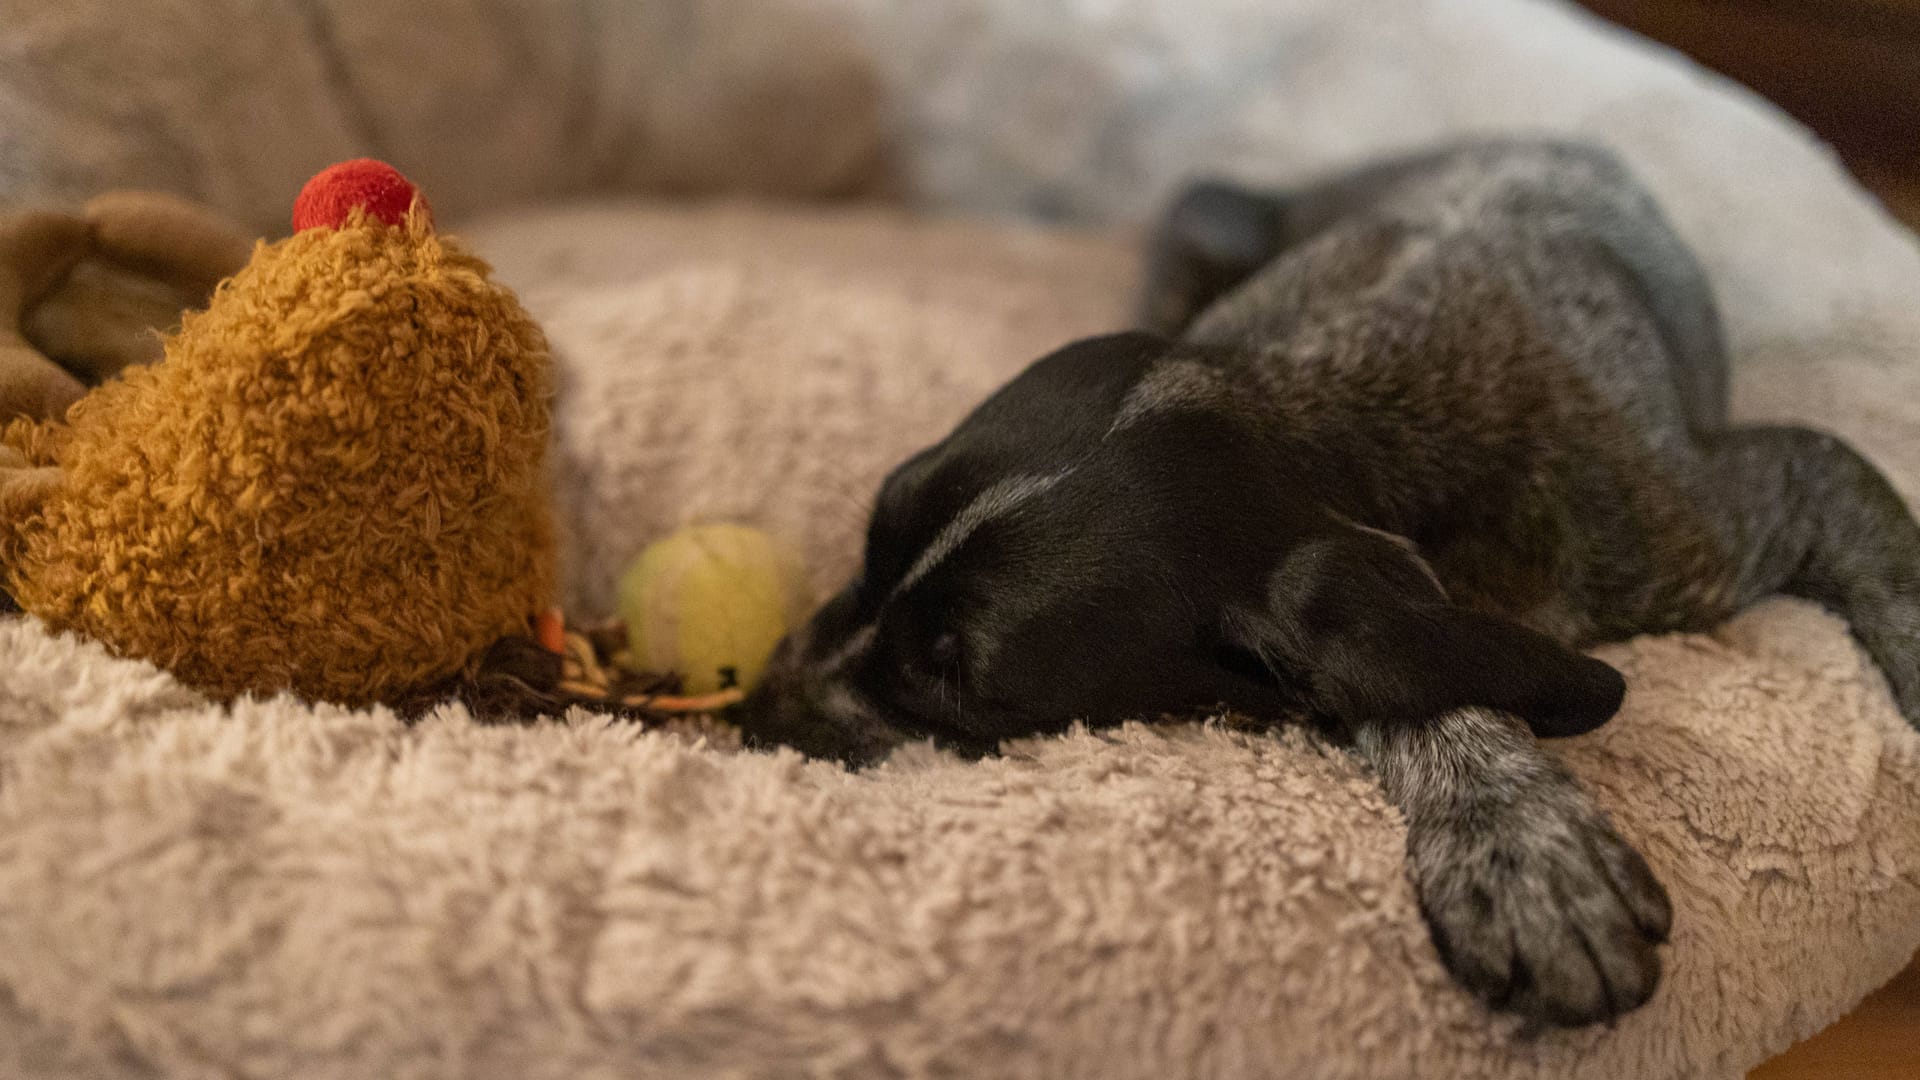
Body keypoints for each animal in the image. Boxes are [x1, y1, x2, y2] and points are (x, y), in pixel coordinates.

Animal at [741, 138, 1920, 1022]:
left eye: (956, 682)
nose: (751, 714)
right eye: (869, 541)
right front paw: (1512, 833)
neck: (1325, 407)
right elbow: (1406, 668)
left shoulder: (1751, 501)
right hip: (1205, 217)